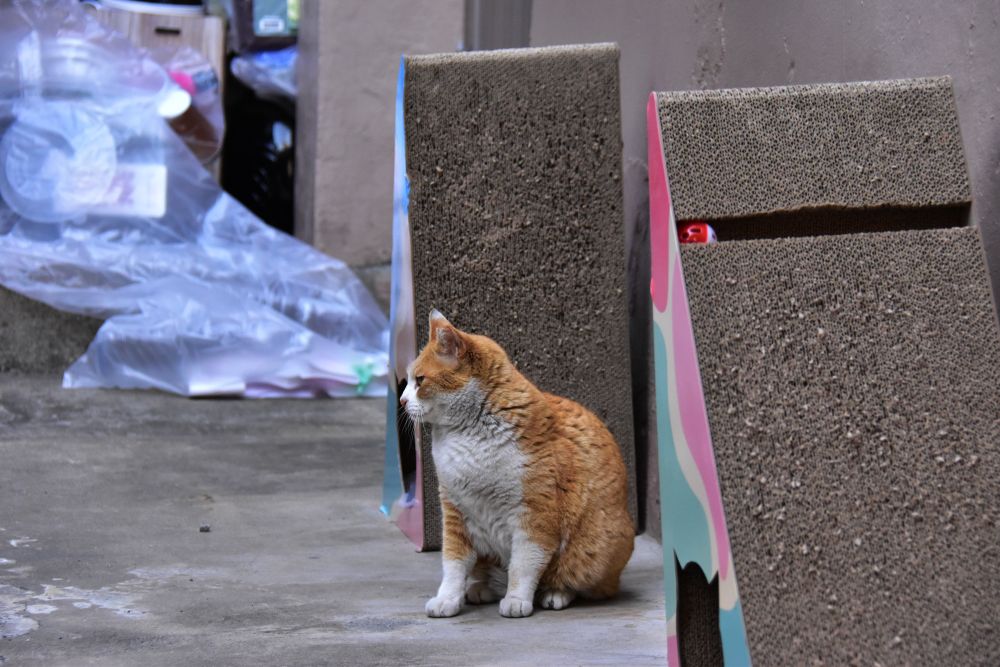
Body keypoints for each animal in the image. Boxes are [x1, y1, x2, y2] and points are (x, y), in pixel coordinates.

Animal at [398, 310, 632, 620]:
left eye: (420, 380)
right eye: (408, 382)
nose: (402, 400)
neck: (467, 432)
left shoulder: (535, 515)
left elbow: (524, 565)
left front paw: (517, 599)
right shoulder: (455, 511)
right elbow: (453, 564)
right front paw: (448, 598)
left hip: (594, 550)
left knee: (576, 581)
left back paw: (554, 594)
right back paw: (482, 588)